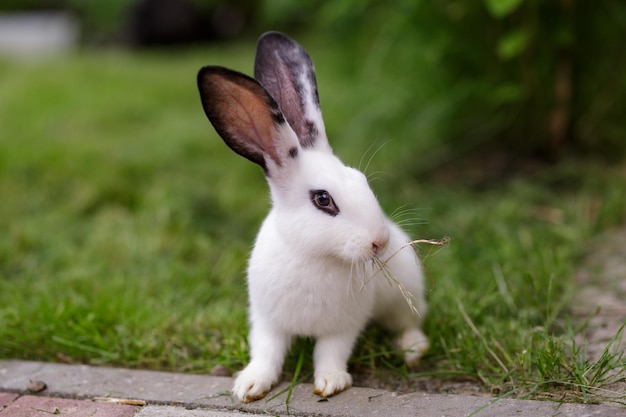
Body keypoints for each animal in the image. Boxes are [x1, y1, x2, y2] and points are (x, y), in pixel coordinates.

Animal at [196, 30, 428, 402]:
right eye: (323, 200)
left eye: (362, 181)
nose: (380, 241)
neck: (314, 255)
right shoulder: (267, 321)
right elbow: (266, 352)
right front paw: (249, 386)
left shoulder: (343, 326)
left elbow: (330, 353)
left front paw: (331, 382)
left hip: (404, 295)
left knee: (410, 322)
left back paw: (413, 349)